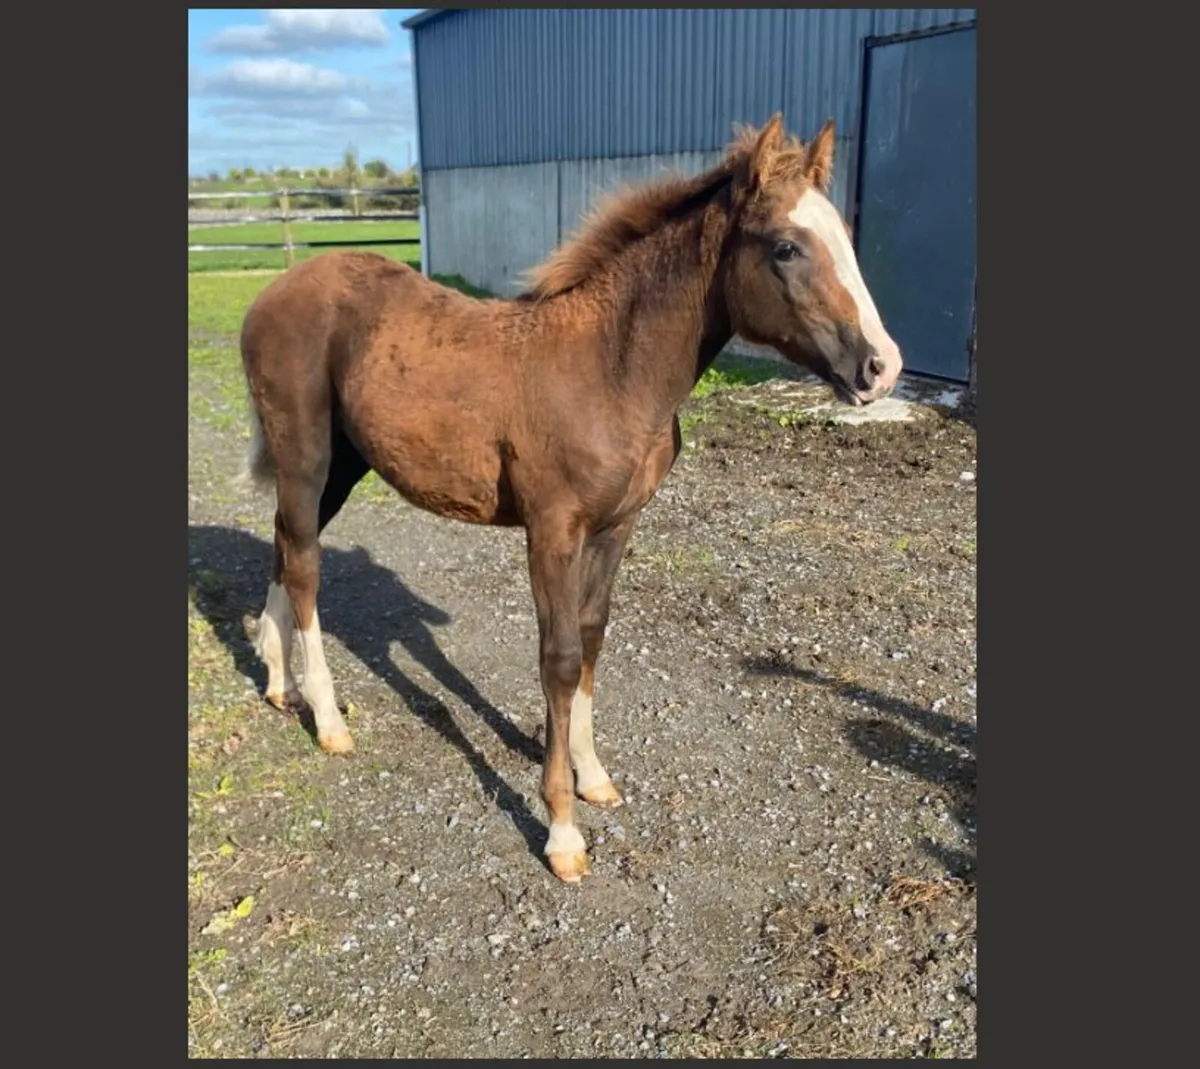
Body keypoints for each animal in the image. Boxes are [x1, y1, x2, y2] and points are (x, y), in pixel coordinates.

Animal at [237, 114, 903, 883]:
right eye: (786, 246)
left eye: (846, 237)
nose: (882, 366)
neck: (609, 368)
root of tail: (273, 292)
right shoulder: (551, 528)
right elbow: (556, 657)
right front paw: (561, 829)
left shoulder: (616, 526)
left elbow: (590, 638)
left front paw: (592, 775)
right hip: (307, 456)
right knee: (305, 564)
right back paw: (329, 720)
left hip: (343, 465)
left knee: (284, 542)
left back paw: (277, 681)